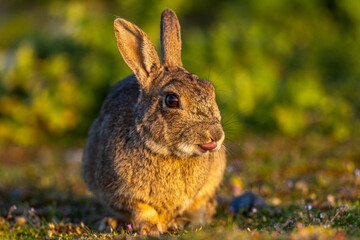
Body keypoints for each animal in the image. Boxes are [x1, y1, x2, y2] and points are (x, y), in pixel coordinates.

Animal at [83, 8, 226, 237]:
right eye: (172, 100)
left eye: (210, 89)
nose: (216, 135)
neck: (166, 152)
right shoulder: (124, 193)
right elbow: (142, 209)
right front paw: (150, 229)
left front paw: (178, 223)